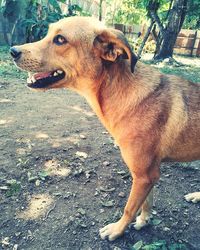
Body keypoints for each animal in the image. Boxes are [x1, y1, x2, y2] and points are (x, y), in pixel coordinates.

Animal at [10, 16, 200, 241]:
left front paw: (117, 230)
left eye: (60, 39)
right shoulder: (147, 174)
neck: (118, 90)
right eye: (48, 33)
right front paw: (144, 220)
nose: (12, 51)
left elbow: (129, 207)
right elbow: (146, 201)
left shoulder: (145, 175)